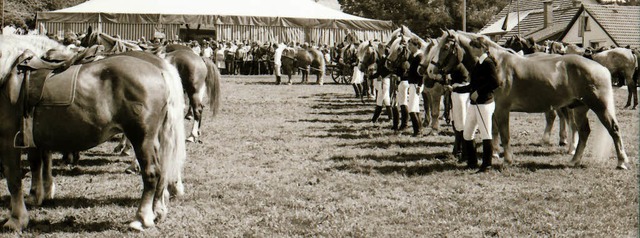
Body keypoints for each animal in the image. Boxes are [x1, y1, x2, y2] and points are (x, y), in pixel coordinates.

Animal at [0, 34, 186, 231]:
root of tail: (160, 70)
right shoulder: (34, 138)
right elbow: (37, 163)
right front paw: (38, 194)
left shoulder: (8, 140)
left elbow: (14, 178)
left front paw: (16, 218)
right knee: (163, 171)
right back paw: (158, 210)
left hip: (142, 138)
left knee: (151, 173)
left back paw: (142, 217)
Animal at [430, 30, 632, 170]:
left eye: (445, 48)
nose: (431, 71)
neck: (496, 64)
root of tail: (601, 67)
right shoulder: (494, 109)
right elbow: (494, 132)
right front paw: (495, 154)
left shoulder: (502, 109)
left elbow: (504, 134)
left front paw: (507, 159)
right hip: (579, 108)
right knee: (583, 132)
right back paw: (574, 160)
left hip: (599, 106)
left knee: (613, 129)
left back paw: (621, 162)